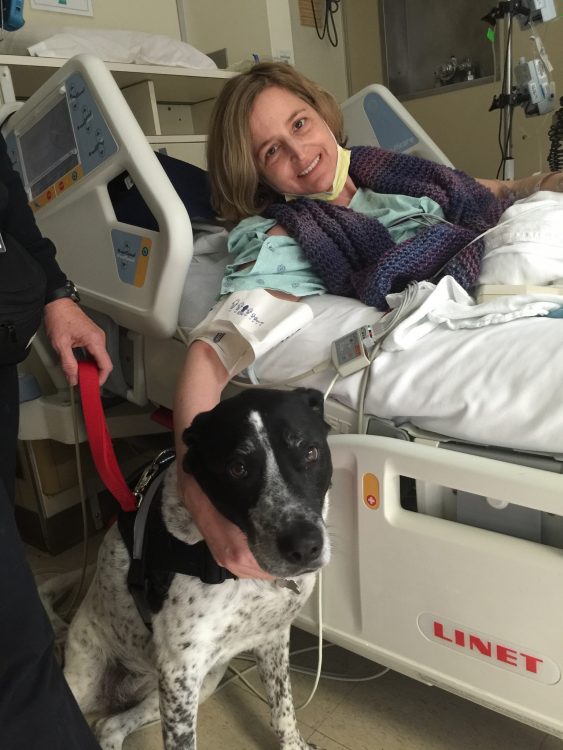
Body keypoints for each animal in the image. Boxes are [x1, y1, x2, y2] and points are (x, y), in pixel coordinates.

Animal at [64, 390, 332, 748]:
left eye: (311, 452)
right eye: (237, 468)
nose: (304, 547)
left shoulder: (272, 639)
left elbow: (282, 708)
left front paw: (293, 744)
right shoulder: (181, 672)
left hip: (195, 685)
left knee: (108, 726)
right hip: (85, 682)